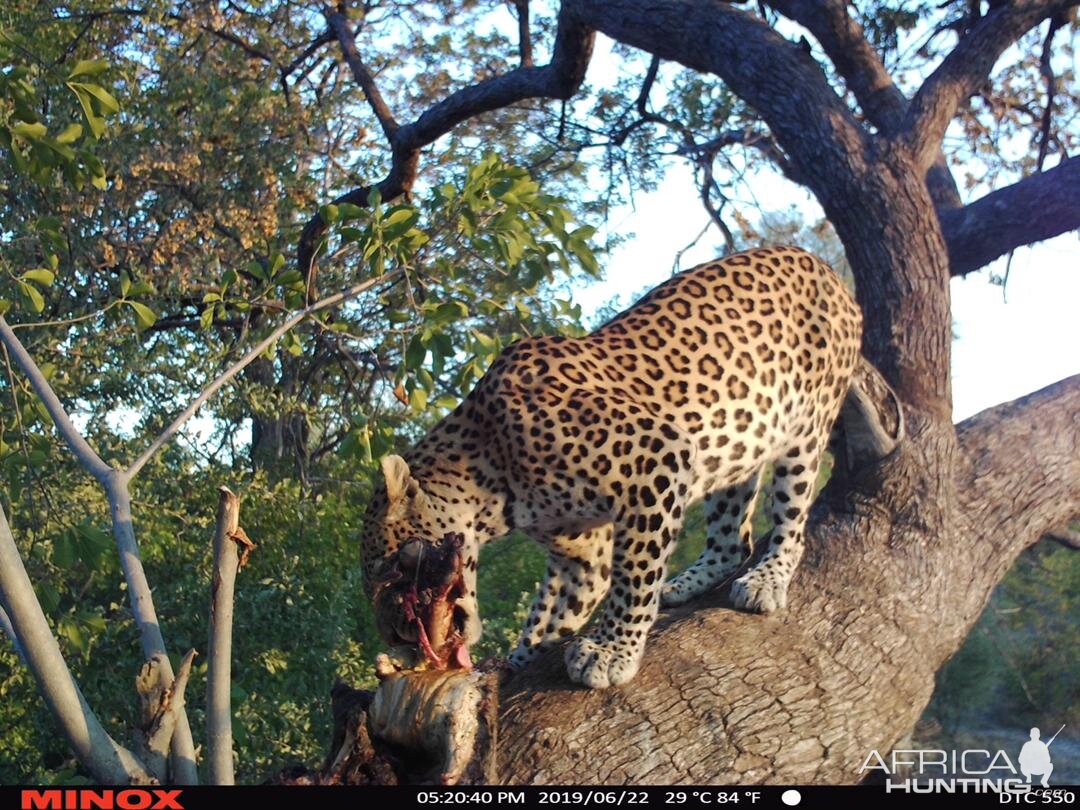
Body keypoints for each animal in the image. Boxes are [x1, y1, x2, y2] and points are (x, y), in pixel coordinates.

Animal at [360, 244, 902, 686]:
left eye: (395, 570)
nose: (399, 640)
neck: (488, 476)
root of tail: (825, 267)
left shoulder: (656, 458)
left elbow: (634, 575)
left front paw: (611, 652)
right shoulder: (581, 553)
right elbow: (551, 612)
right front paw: (520, 660)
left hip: (804, 427)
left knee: (791, 518)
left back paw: (767, 578)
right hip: (738, 444)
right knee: (732, 540)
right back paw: (687, 582)